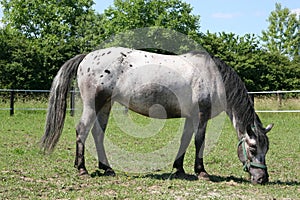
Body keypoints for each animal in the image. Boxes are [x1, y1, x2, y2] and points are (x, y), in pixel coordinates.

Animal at [41, 47, 274, 184]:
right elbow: (199, 142)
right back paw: (82, 169)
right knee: (82, 130)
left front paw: (179, 169)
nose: (262, 178)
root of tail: (87, 57)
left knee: (98, 134)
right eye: (253, 148)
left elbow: (184, 140)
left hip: (105, 106)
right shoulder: (201, 115)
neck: (212, 77)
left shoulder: (190, 117)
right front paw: (201, 172)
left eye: (267, 149)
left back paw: (107, 168)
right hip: (92, 105)